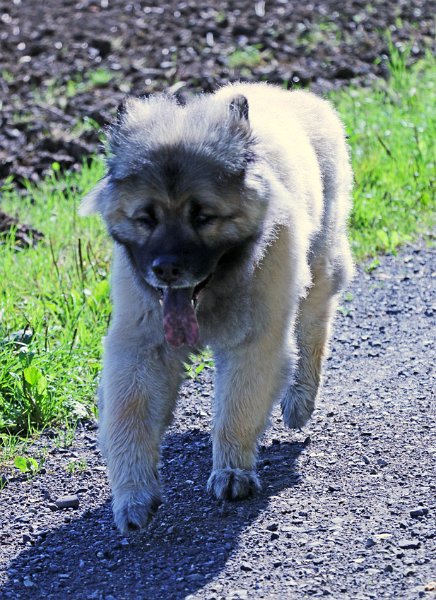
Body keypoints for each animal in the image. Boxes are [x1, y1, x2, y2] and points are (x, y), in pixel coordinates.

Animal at [81, 81, 354, 536]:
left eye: (203, 217)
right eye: (146, 218)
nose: (167, 268)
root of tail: (298, 96)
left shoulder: (256, 341)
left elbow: (237, 410)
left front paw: (231, 471)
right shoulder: (140, 345)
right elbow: (128, 417)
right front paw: (133, 494)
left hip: (319, 266)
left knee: (313, 329)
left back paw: (300, 399)